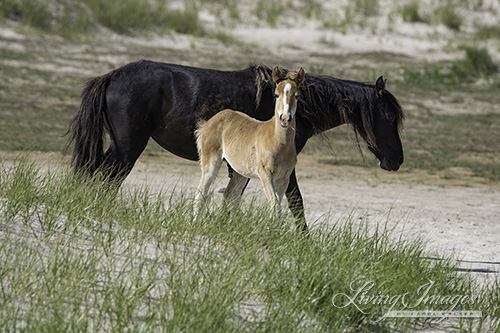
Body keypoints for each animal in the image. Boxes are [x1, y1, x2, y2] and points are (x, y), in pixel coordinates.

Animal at [194, 66, 304, 211]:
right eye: (276, 94)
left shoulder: (284, 178)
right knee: (200, 195)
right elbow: (274, 206)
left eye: (297, 96)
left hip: (240, 171)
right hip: (211, 163)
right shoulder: (266, 174)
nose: (285, 119)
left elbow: (276, 206)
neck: (277, 141)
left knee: (231, 196)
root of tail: (211, 121)